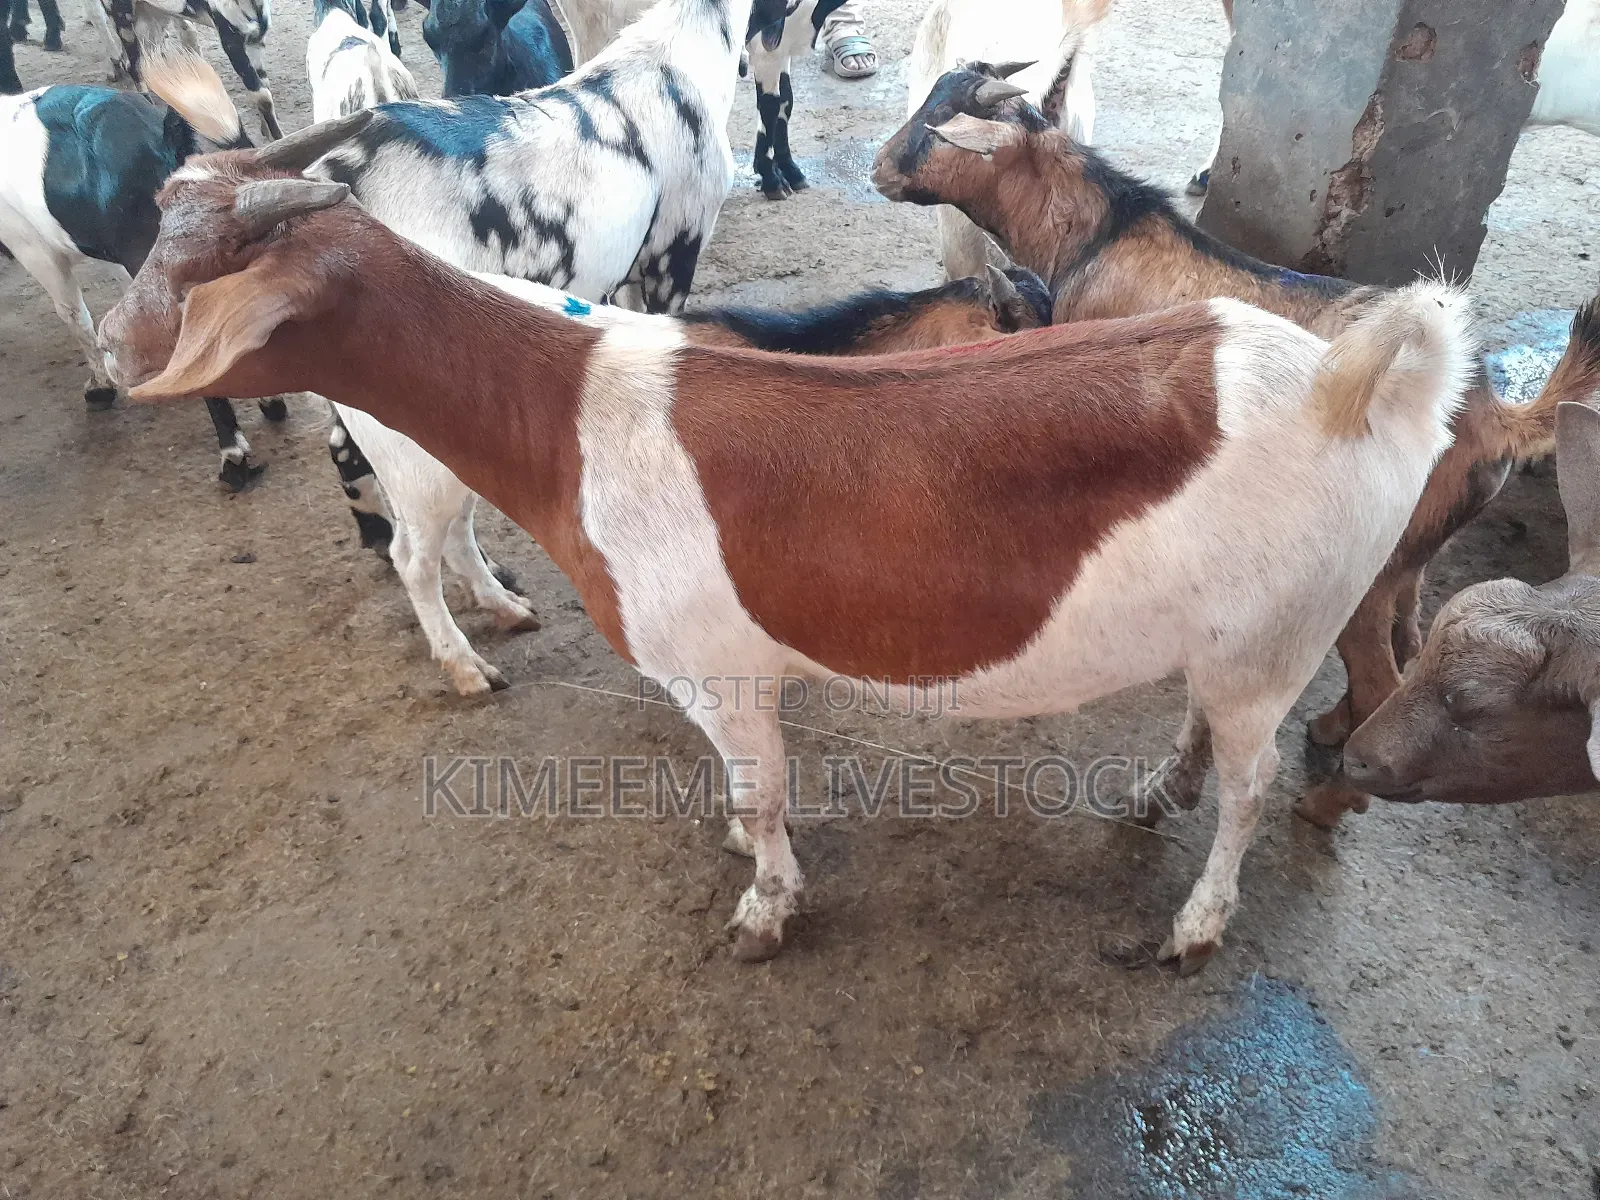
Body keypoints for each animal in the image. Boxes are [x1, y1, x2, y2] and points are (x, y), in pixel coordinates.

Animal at [99, 148, 1473, 971]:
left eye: (198, 269)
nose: (108, 345)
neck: (569, 415)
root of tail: (1366, 384)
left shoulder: (718, 664)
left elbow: (762, 794)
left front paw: (762, 908)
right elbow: (743, 791)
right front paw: (739, 855)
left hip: (1284, 629)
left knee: (1252, 787)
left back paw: (1195, 923)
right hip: (1243, 635)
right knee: (1209, 732)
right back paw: (1150, 796)